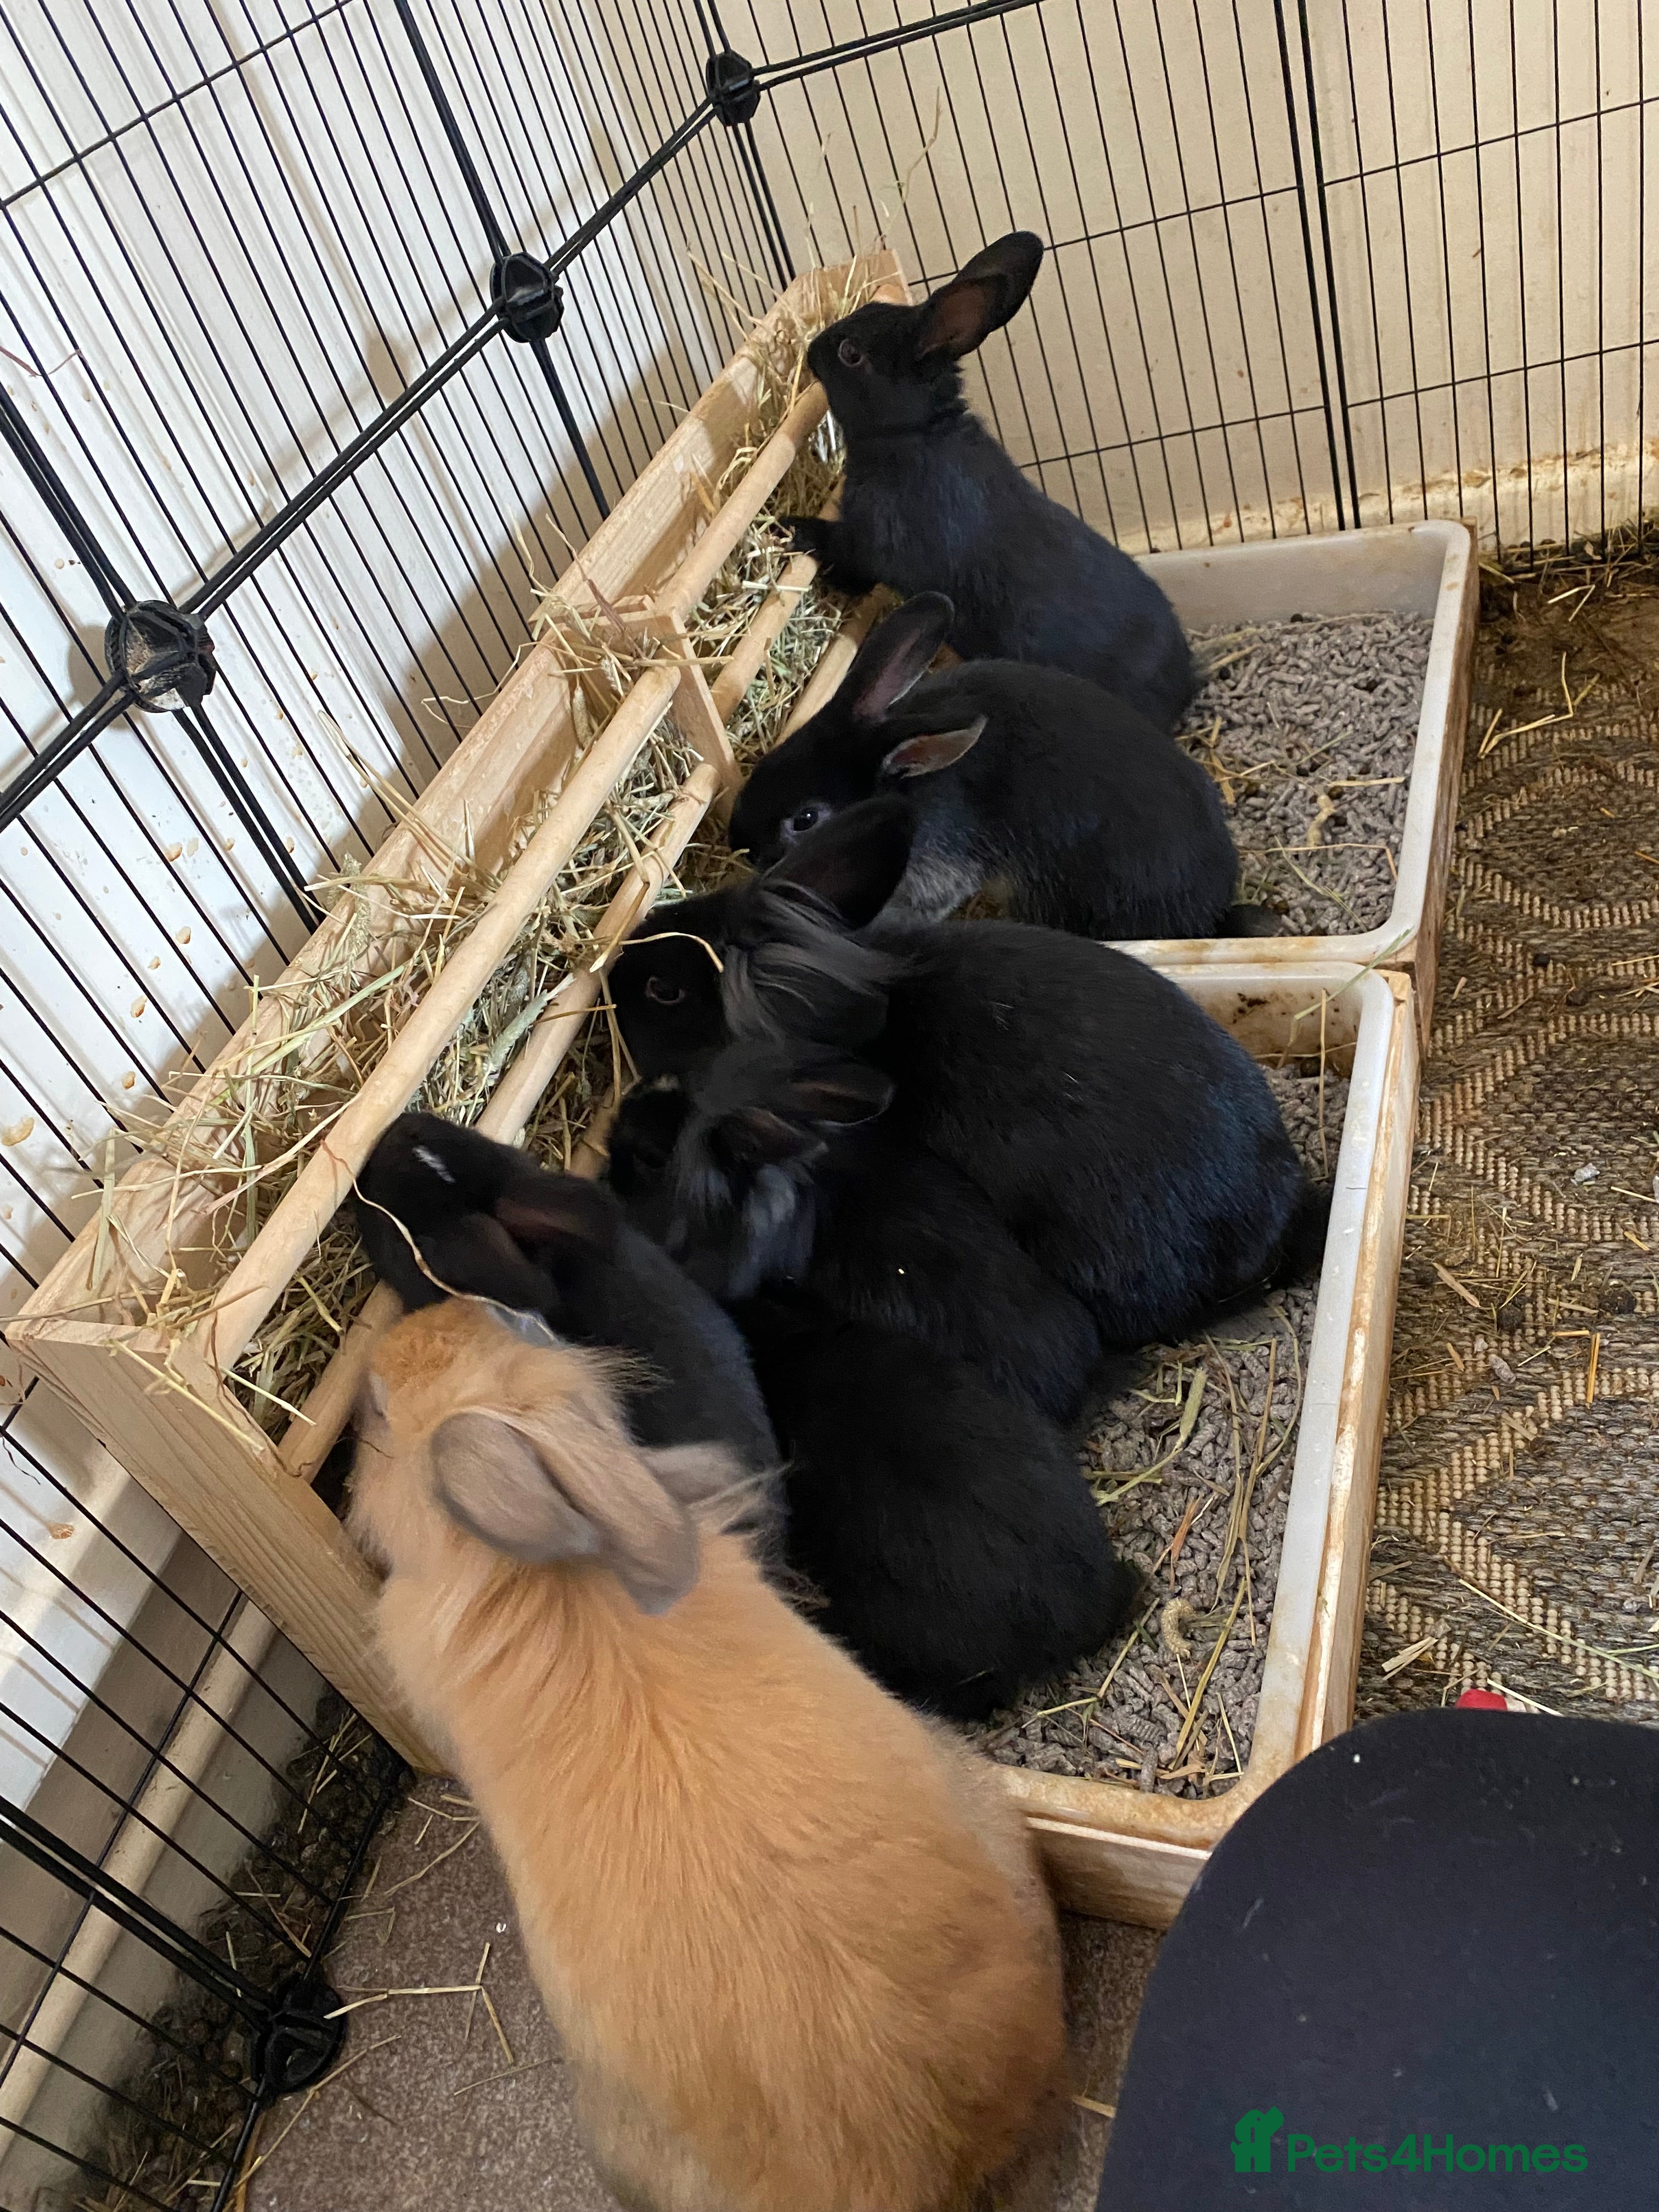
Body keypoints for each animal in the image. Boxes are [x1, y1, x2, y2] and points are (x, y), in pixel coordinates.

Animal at [782, 232, 1196, 732]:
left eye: (850, 353)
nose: (810, 349)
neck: (915, 433)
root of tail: (1187, 682)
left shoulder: (872, 544)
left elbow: (843, 557)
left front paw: (791, 527)